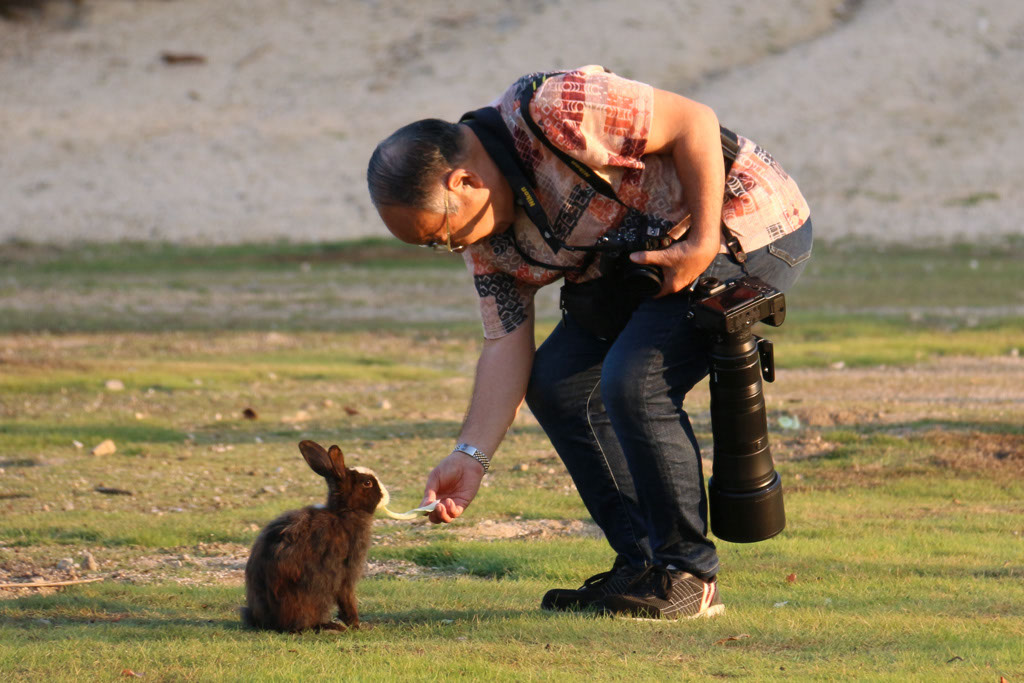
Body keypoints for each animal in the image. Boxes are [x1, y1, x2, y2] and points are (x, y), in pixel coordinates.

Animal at [242, 440, 384, 632]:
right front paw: (355, 624)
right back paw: (330, 626)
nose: (384, 495)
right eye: (367, 483)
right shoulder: (347, 569)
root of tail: (271, 622)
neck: (344, 512)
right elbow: (346, 596)